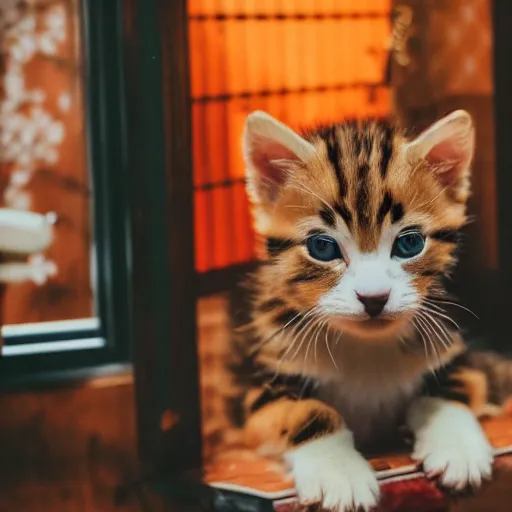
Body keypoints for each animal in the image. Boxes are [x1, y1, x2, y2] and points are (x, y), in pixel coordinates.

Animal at [228, 111, 500, 512]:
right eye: (322, 247)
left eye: (410, 243)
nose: (374, 298)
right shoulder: (260, 391)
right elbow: (306, 411)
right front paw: (338, 472)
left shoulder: (457, 351)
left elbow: (455, 387)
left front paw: (458, 447)